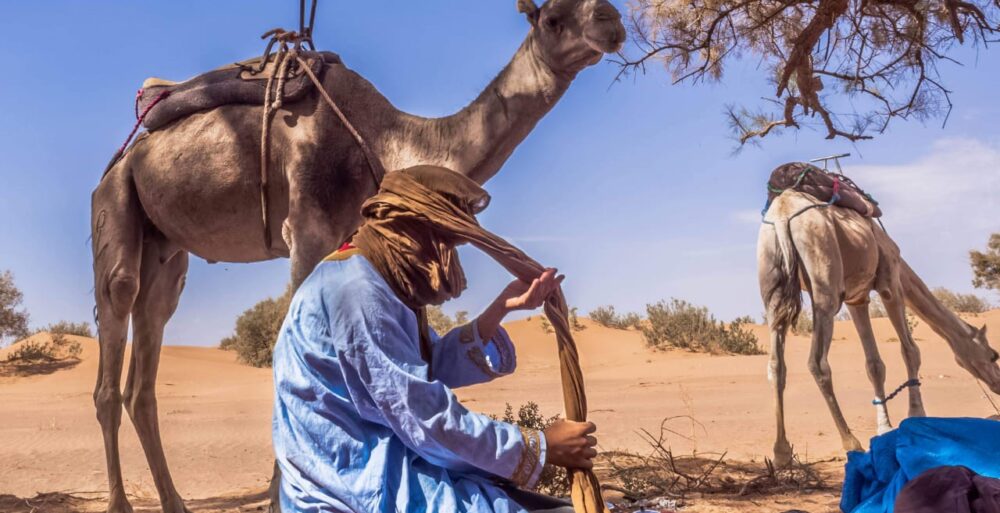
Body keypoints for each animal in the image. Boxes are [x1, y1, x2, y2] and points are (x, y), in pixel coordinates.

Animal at [92, 2, 624, 510]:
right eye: (552, 18)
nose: (611, 20)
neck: (386, 135)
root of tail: (126, 155)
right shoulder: (306, 227)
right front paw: (281, 496)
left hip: (166, 248)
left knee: (147, 352)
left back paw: (174, 502)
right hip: (115, 202)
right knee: (115, 327)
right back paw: (120, 502)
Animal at [756, 190, 1000, 466]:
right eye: (993, 355)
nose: (998, 383)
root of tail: (782, 215)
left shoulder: (856, 299)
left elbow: (874, 364)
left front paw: (884, 426)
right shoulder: (891, 281)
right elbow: (911, 351)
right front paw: (915, 414)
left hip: (772, 283)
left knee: (776, 365)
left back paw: (781, 452)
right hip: (824, 281)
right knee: (817, 363)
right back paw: (850, 442)